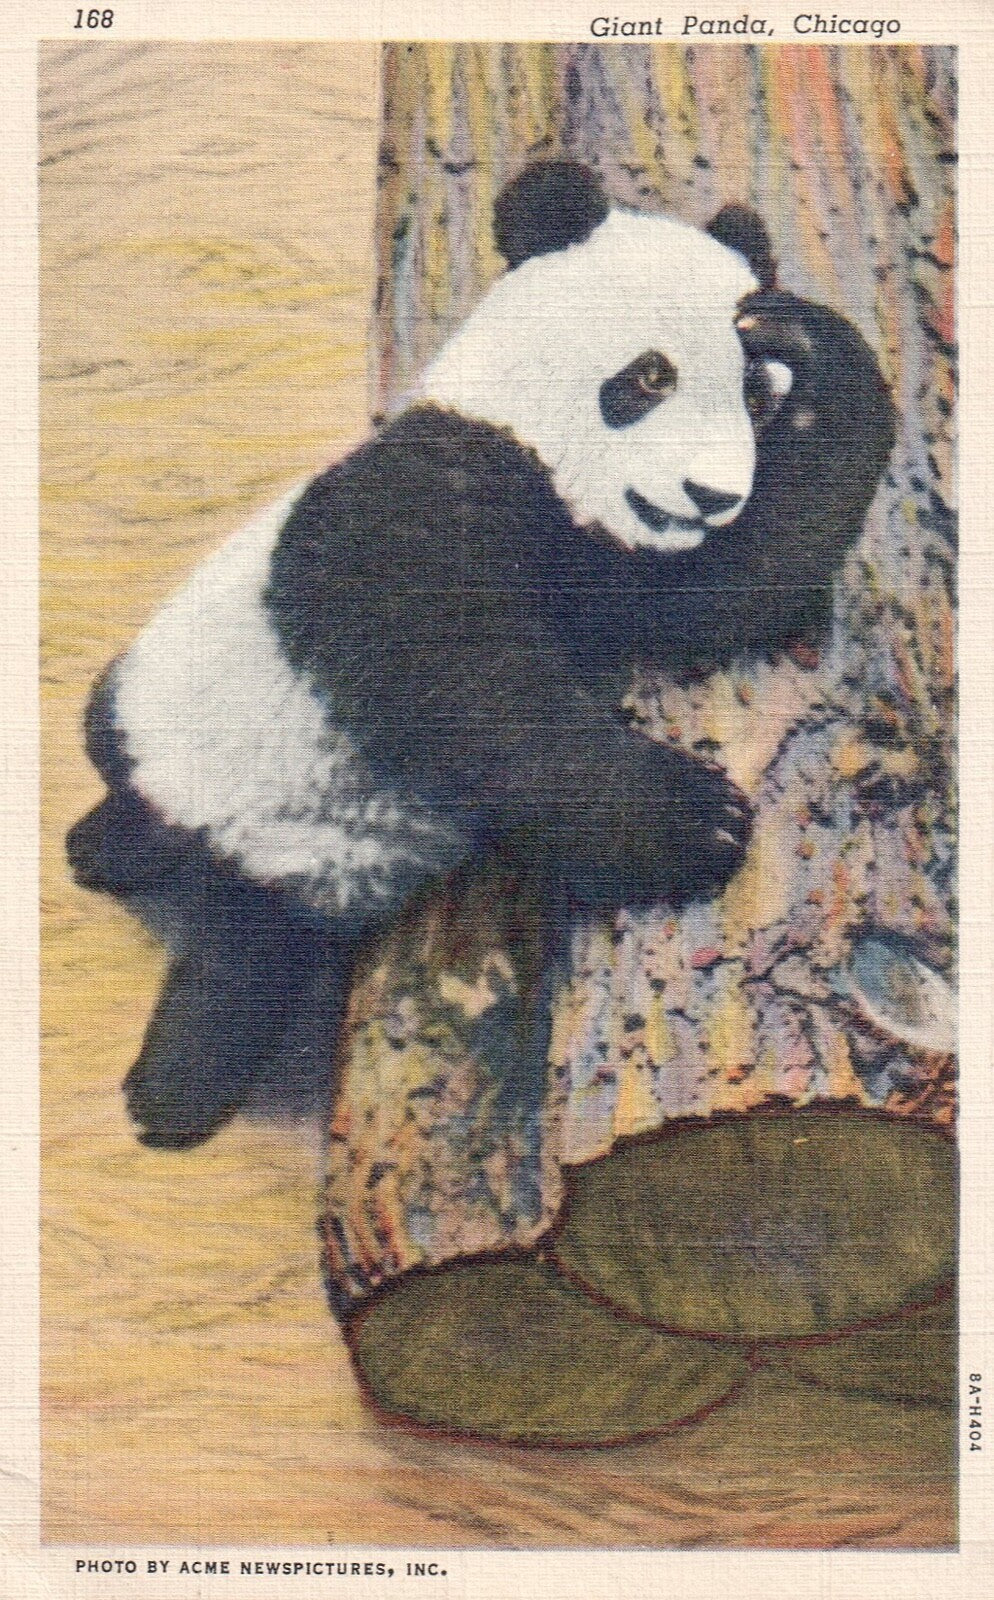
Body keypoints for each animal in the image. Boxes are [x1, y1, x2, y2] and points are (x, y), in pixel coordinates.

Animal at [67, 160, 895, 1150]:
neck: (534, 453)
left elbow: (723, 590)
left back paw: (167, 1068)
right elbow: (468, 681)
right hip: (170, 689)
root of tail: (222, 832)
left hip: (301, 870)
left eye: (756, 400)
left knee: (246, 959)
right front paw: (697, 822)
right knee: (111, 743)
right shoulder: (420, 492)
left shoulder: (610, 565)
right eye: (649, 375)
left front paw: (811, 353)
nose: (709, 495)